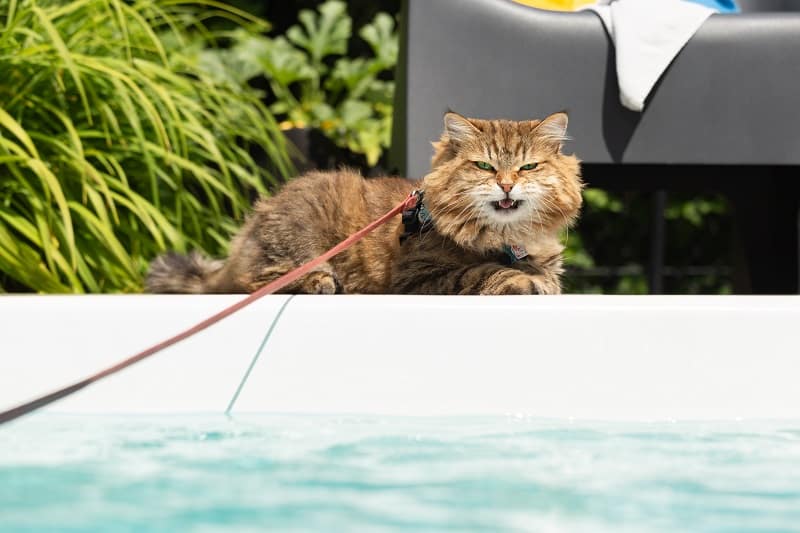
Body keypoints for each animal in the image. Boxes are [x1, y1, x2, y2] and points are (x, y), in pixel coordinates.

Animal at [145, 110, 580, 296]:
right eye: (484, 166)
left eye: (528, 166)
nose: (506, 185)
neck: (505, 238)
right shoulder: (416, 276)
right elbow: (482, 271)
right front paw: (523, 280)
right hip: (303, 231)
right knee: (255, 281)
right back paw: (318, 281)